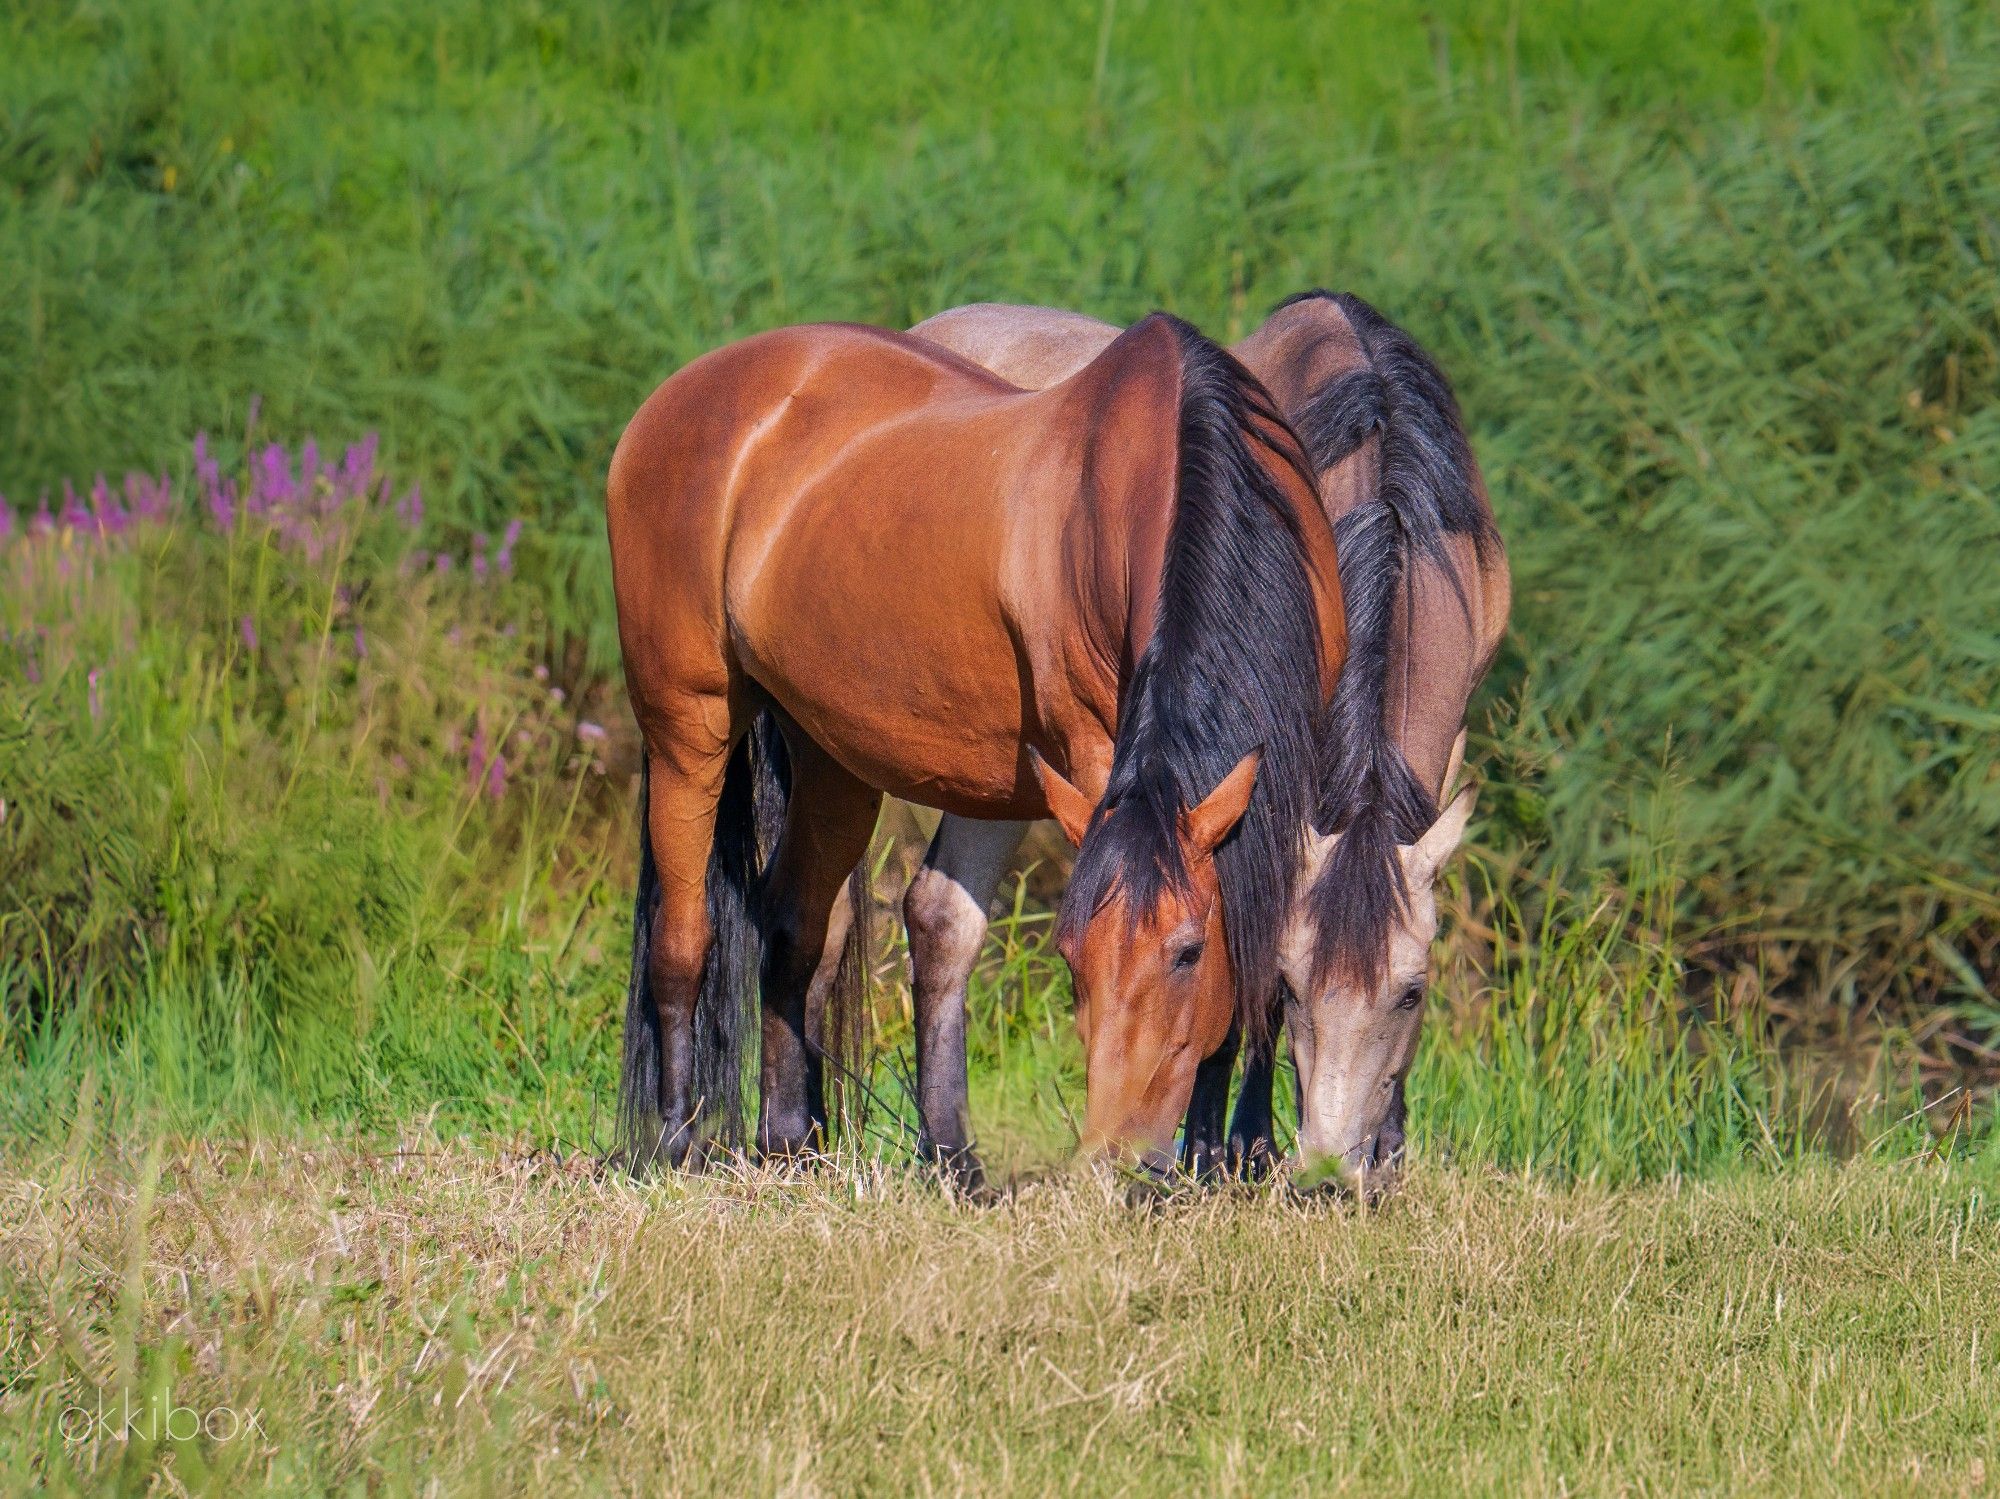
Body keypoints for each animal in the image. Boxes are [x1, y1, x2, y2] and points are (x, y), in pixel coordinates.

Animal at [596, 311, 1344, 1183]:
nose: (1120, 1155)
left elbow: (1263, 964)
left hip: (832, 762)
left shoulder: (1294, 785)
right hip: (687, 729)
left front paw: (1229, 1157)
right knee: (684, 938)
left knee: (793, 926)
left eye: (1189, 952)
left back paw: (798, 1141)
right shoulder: (1095, 756)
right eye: (1070, 957)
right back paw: (674, 1142)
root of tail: (671, 403)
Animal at [856, 289, 1504, 1183]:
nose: (1329, 1176)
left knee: (943, 913)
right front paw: (1226, 1148)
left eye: (1412, 991)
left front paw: (1386, 1152)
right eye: (1291, 985)